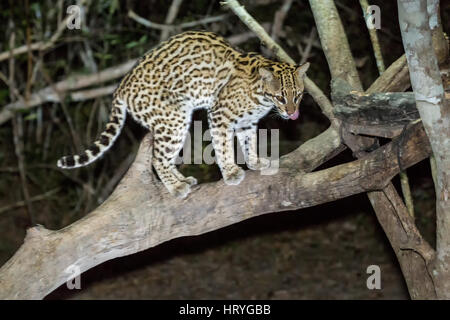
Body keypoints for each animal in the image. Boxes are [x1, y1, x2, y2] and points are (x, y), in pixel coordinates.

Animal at [57, 31, 310, 199]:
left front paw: (255, 162)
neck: (261, 96)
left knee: (164, 158)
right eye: (280, 97)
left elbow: (249, 142)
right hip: (174, 120)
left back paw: (181, 180)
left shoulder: (247, 122)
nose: (292, 113)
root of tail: (122, 86)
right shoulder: (219, 114)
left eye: (297, 96)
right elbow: (223, 147)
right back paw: (176, 187)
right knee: (158, 159)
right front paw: (230, 172)